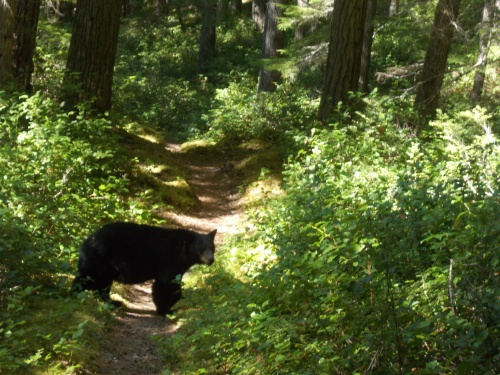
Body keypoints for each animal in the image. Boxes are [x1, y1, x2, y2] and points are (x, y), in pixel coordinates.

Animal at [73, 222, 217, 316]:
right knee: (91, 281)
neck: (184, 252)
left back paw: (112, 301)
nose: (211, 260)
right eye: (201, 248)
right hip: (100, 261)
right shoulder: (170, 260)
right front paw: (164, 309)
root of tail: (85, 242)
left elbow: (174, 284)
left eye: (212, 247)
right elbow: (164, 284)